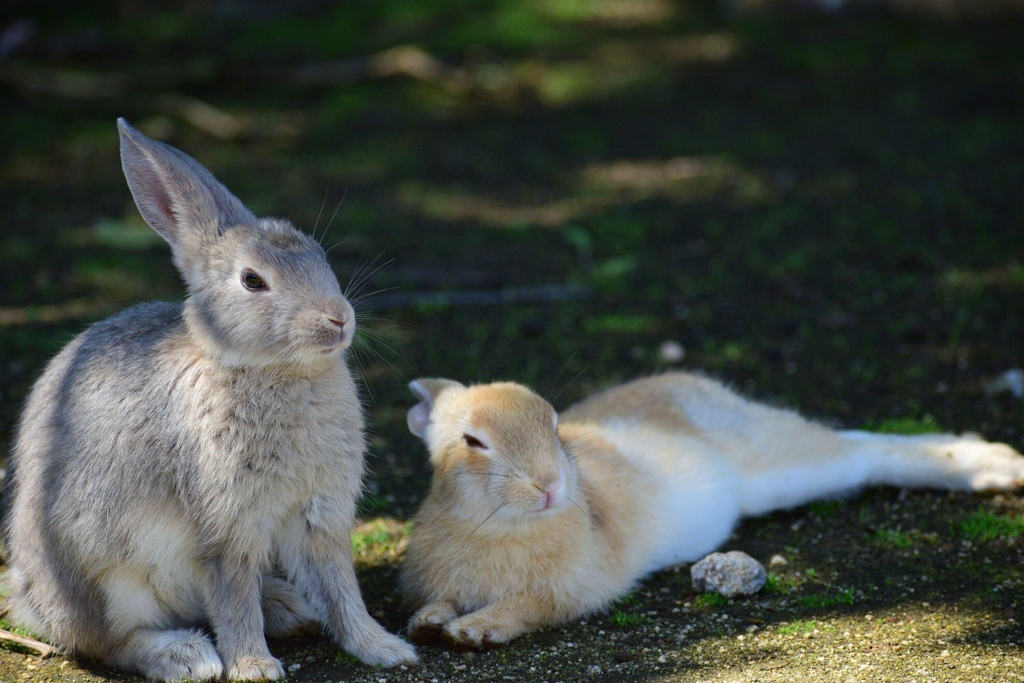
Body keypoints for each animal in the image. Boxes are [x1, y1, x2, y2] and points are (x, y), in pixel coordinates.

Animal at [3, 120, 415, 679]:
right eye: (252, 281)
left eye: (319, 256)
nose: (339, 319)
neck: (270, 370)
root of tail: (30, 600)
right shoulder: (226, 527)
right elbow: (233, 597)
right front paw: (255, 668)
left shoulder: (320, 517)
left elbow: (342, 590)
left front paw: (385, 649)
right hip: (107, 582)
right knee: (111, 642)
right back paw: (186, 656)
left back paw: (287, 607)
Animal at [397, 374, 1024, 647]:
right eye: (473, 441)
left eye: (553, 424)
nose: (550, 484)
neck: (498, 523)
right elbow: (439, 602)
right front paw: (428, 624)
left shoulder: (572, 590)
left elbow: (527, 607)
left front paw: (473, 631)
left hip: (784, 468)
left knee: (866, 452)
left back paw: (996, 465)